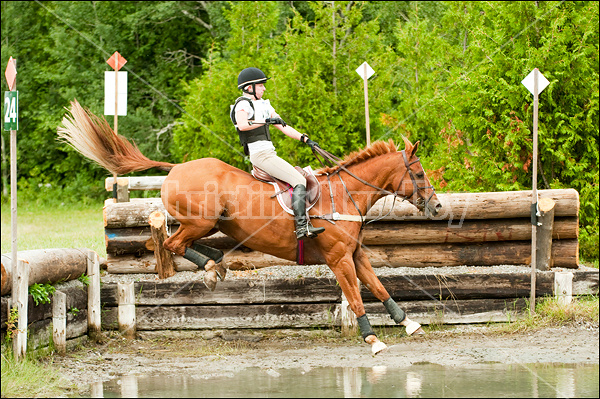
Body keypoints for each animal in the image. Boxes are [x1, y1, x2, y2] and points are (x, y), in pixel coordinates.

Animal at [58, 101, 442, 356]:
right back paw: (211, 267)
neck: (346, 194)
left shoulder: (355, 254)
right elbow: (357, 297)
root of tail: (175, 167)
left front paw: (408, 323)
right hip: (202, 220)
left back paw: (215, 263)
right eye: (419, 173)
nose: (438, 206)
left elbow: (379, 287)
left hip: (209, 222)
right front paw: (372, 340)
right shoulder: (339, 259)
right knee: (170, 243)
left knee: (179, 243)